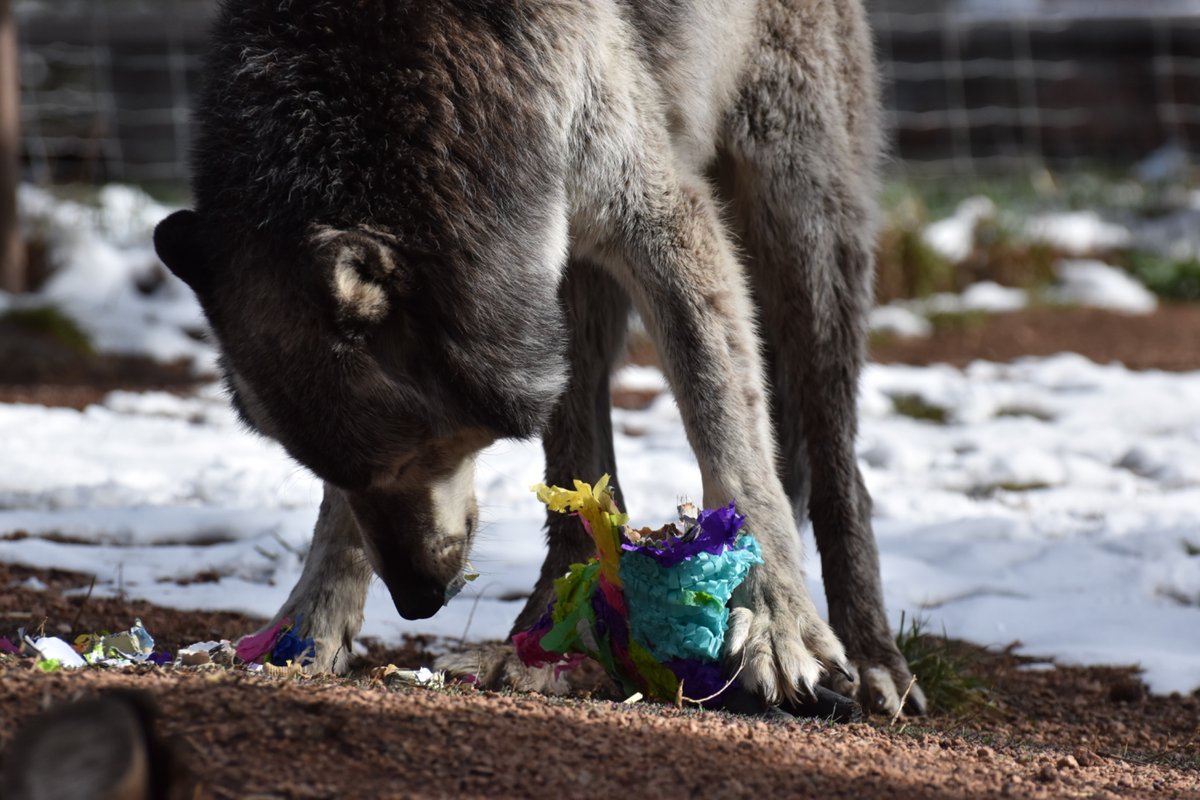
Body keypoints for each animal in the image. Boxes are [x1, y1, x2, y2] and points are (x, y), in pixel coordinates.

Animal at [153, 0, 923, 715]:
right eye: (335, 469)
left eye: (412, 457)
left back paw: (874, 659)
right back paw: (542, 640)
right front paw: (305, 628)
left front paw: (777, 626)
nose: (418, 602)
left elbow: (736, 451)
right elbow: (343, 522)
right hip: (567, 292)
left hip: (802, 224)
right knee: (583, 478)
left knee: (836, 466)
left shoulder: (663, 218)